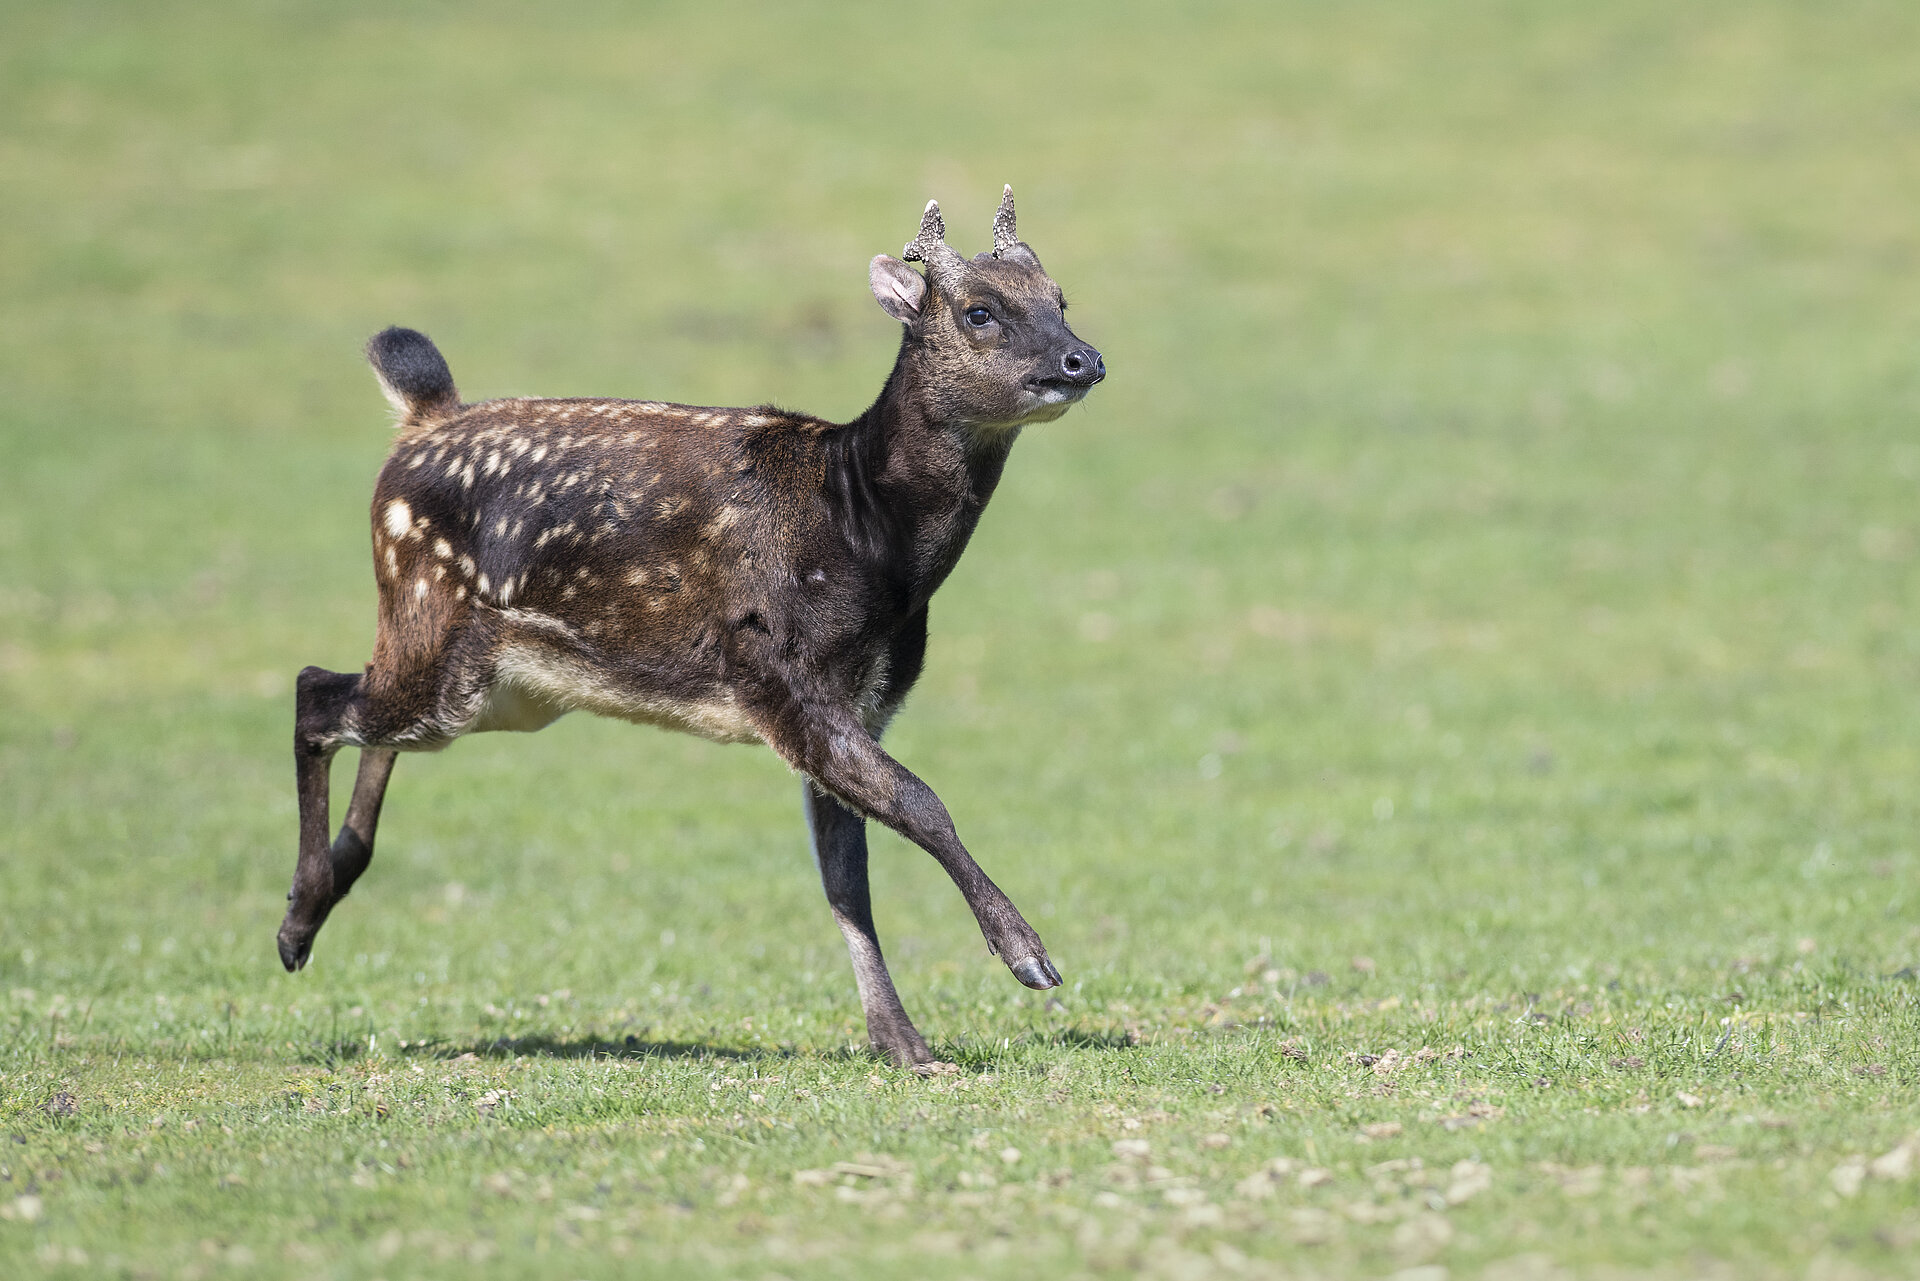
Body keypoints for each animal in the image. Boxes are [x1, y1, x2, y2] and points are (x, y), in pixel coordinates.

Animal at [277, 189, 1104, 1069]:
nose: (1082, 360)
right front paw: (1027, 955)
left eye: (1059, 299)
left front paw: (904, 1042)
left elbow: (847, 878)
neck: (865, 534)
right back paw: (295, 924)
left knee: (366, 718)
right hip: (434, 629)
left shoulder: (861, 702)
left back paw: (325, 891)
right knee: (316, 692)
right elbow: (921, 802)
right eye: (979, 311)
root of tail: (418, 424)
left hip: (492, 687)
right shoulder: (781, 677)